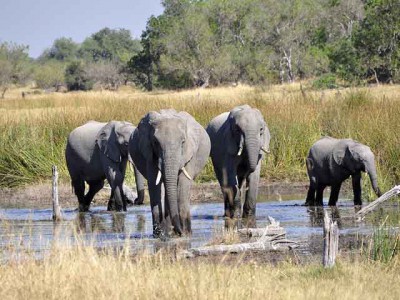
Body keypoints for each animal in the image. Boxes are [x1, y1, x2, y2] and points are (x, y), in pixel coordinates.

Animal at [130, 109, 212, 238]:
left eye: (183, 142)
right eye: (155, 142)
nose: (180, 231)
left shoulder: (189, 154)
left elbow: (183, 184)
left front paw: (186, 234)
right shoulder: (149, 153)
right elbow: (154, 184)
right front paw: (159, 235)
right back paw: (168, 231)